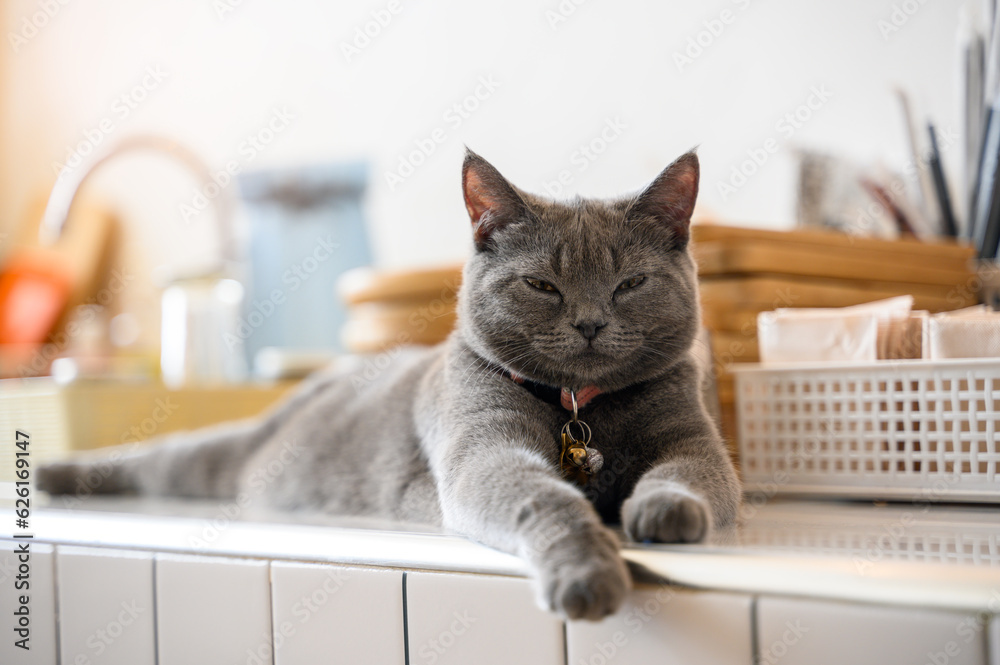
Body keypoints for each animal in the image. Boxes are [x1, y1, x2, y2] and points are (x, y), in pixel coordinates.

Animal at [37, 148, 744, 620]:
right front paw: (587, 575)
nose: (592, 322)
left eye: (631, 284)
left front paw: (663, 512)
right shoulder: (484, 451)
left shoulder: (694, 438)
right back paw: (52, 474)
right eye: (542, 284)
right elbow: (548, 500)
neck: (579, 408)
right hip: (220, 457)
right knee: (163, 457)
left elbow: (688, 474)